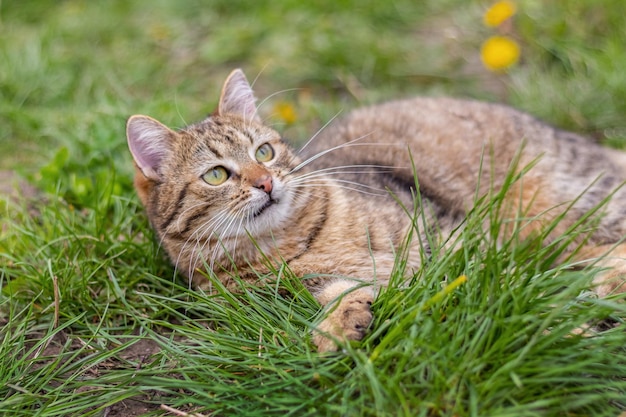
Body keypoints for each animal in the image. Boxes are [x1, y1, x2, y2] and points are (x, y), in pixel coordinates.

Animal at [125, 69, 624, 352]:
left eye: (264, 152)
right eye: (216, 175)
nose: (265, 182)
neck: (292, 241)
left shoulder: (452, 240)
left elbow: (509, 293)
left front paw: (572, 332)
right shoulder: (310, 286)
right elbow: (344, 294)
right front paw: (338, 328)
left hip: (565, 209)